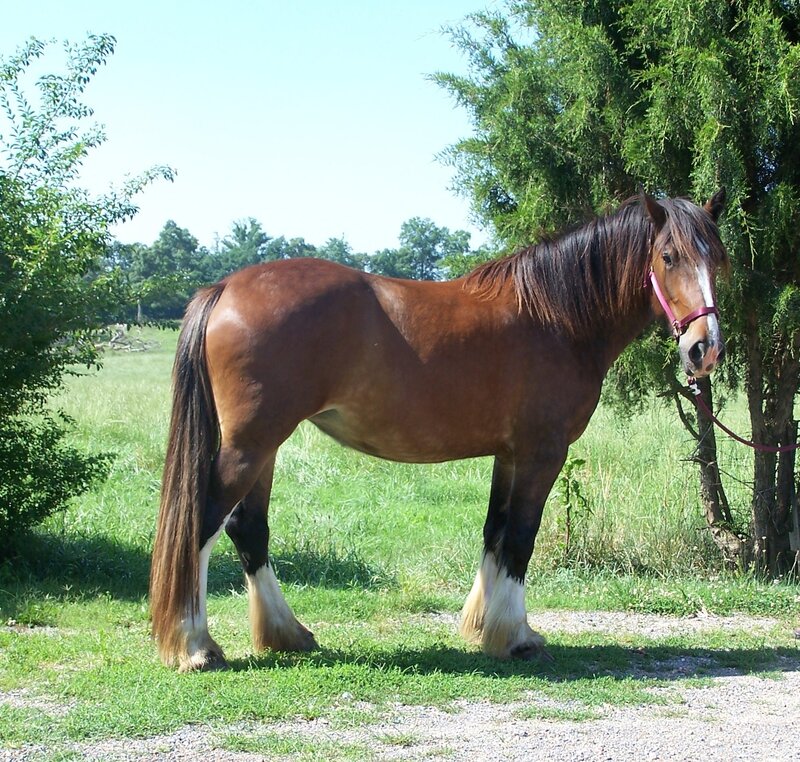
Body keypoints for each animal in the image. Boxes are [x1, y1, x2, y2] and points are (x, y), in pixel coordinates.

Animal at [150, 190, 728, 671]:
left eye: (717, 258)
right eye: (669, 257)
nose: (705, 348)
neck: (557, 317)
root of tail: (225, 288)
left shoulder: (509, 454)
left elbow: (496, 534)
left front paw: (482, 628)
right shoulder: (542, 452)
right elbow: (521, 539)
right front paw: (515, 638)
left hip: (264, 448)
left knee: (248, 530)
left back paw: (286, 635)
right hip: (249, 446)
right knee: (202, 524)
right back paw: (196, 647)